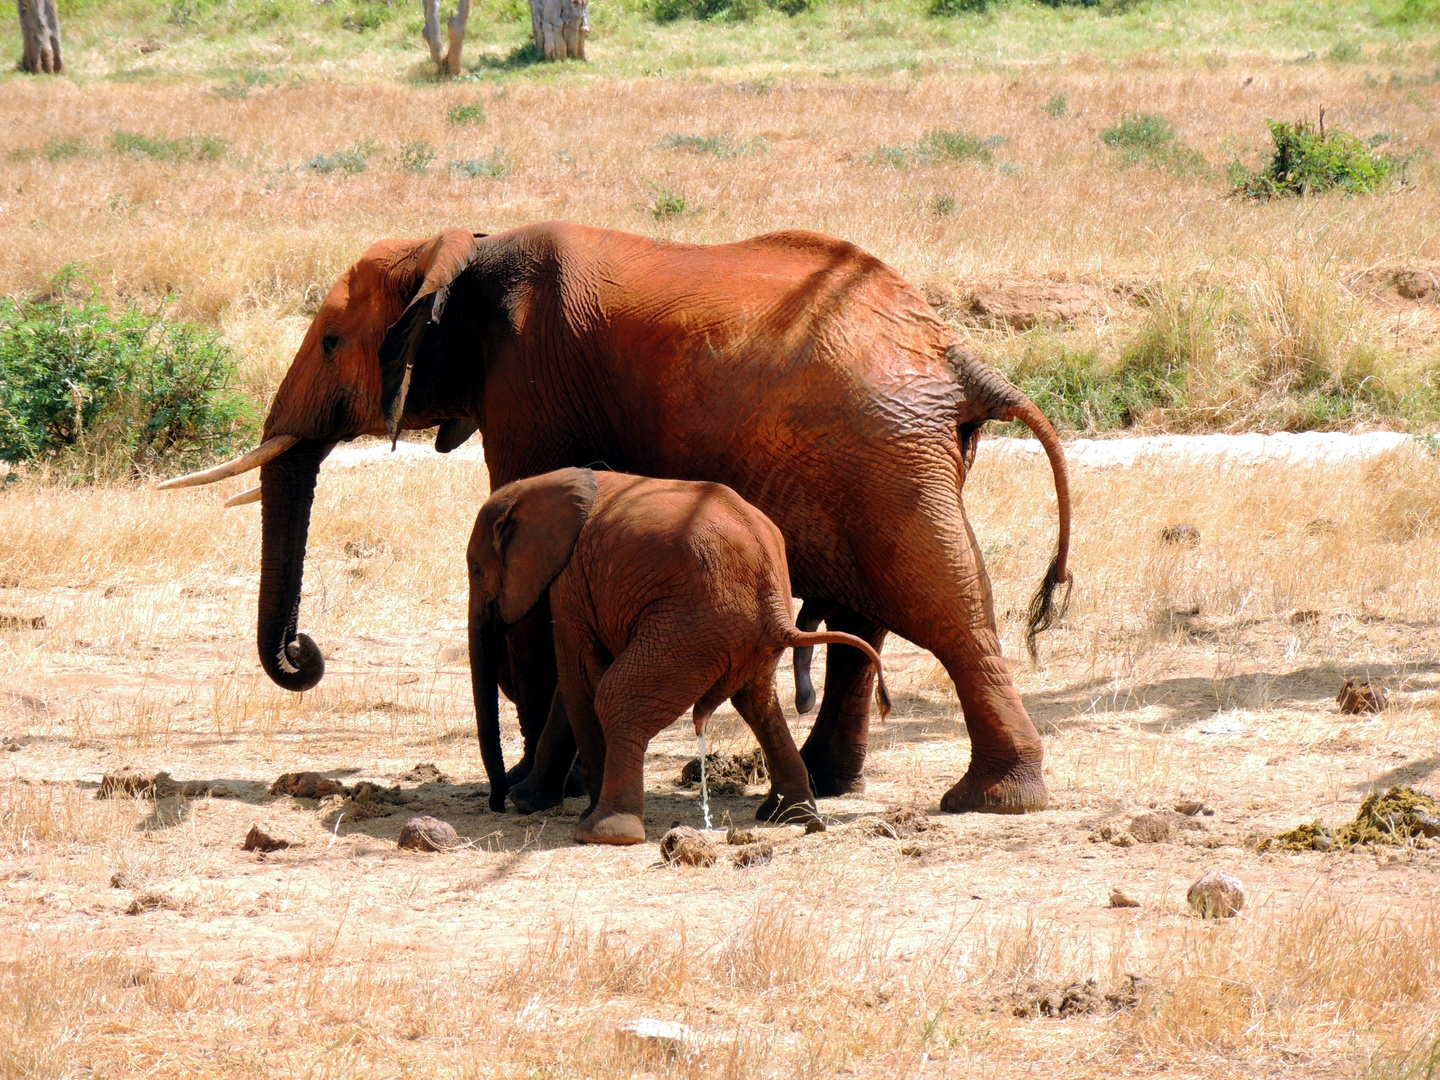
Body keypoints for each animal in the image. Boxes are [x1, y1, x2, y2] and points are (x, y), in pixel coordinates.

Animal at [463, 469, 887, 852]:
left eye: (477, 571)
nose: (497, 804)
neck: (540, 486)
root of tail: (776, 611)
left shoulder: (571, 582)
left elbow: (579, 679)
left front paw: (545, 806)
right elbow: (573, 688)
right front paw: (529, 802)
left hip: (692, 628)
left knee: (616, 696)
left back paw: (604, 833)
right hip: (730, 635)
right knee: (759, 704)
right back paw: (792, 816)